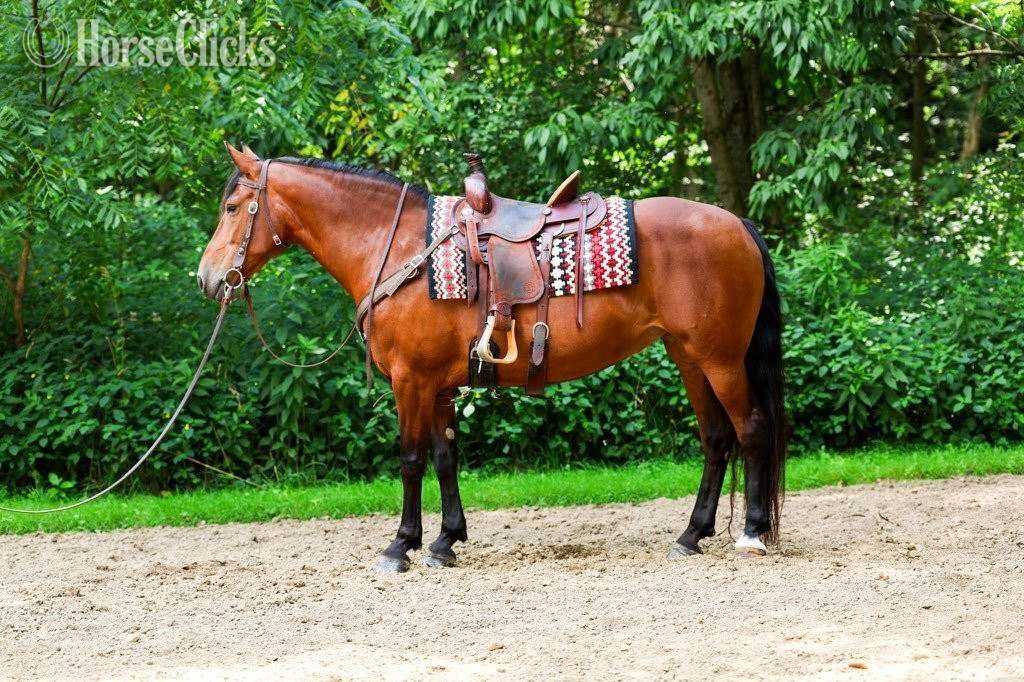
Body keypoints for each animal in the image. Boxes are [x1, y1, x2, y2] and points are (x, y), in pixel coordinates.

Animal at [197, 142, 786, 573]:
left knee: (752, 428)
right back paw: (691, 535)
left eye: (232, 208)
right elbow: (444, 458)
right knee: (717, 439)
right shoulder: (437, 385)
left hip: (720, 360)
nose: (206, 279)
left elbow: (410, 460)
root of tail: (738, 225)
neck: (399, 248)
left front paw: (401, 545)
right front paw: (444, 542)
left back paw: (752, 533)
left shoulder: (411, 381)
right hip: (690, 359)